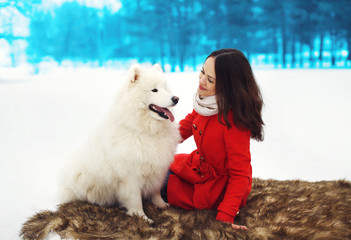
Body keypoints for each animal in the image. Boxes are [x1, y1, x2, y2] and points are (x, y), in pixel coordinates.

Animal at [58, 64, 180, 223]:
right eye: (154, 90)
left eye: (165, 88)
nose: (176, 98)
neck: (144, 131)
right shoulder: (130, 177)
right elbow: (135, 200)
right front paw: (142, 218)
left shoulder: (157, 169)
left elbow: (156, 191)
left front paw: (161, 205)